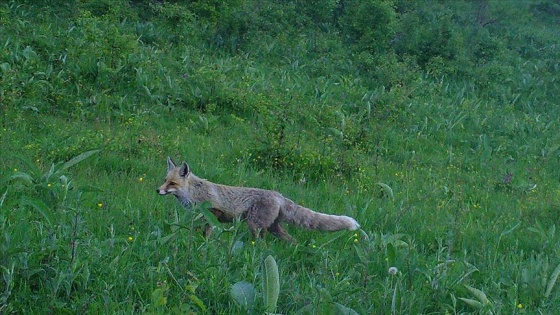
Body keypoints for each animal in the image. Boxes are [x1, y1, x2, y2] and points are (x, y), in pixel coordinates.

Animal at [158, 158, 358, 244]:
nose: (157, 190)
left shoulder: (212, 212)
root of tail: (278, 195)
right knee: (290, 240)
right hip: (272, 227)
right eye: (164, 180)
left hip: (254, 225)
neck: (193, 192)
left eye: (172, 183)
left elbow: (207, 232)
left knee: (259, 242)